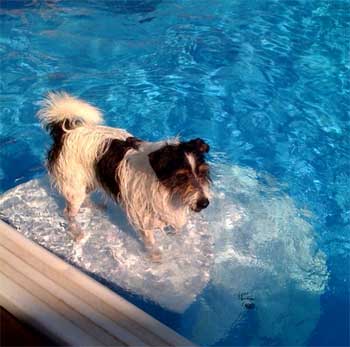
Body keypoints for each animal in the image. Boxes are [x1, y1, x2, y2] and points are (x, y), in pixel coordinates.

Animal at [37, 92, 211, 250]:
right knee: (69, 212)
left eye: (202, 173)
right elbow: (151, 243)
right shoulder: (142, 216)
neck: (162, 185)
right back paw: (77, 233)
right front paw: (156, 258)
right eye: (181, 177)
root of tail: (66, 132)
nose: (205, 203)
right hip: (74, 184)